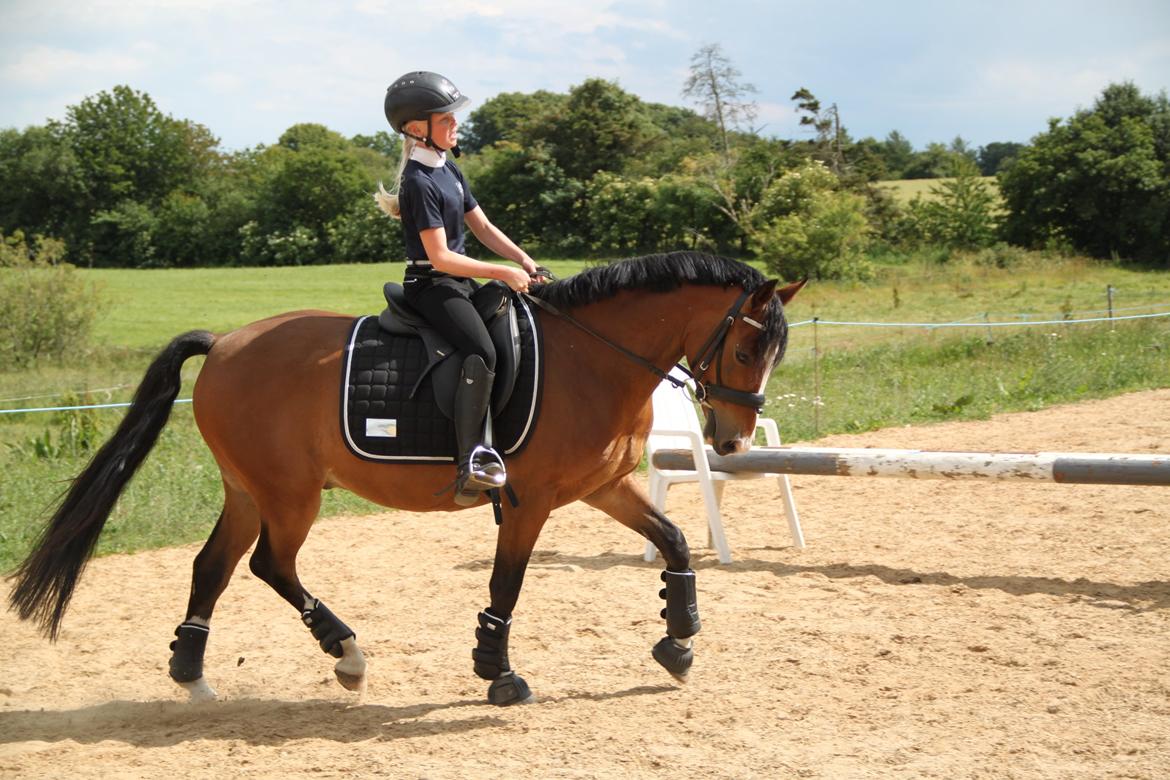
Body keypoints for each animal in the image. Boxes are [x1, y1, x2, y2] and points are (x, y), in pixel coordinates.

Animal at [9, 251, 803, 706]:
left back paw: (193, 674)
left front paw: (680, 642)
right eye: (746, 347)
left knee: (214, 566)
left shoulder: (602, 486)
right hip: (289, 494)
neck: (593, 359)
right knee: (271, 564)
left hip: (247, 489)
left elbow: (673, 540)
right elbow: (506, 585)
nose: (731, 440)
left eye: (773, 353)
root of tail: (226, 341)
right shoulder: (529, 500)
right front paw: (498, 672)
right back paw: (347, 654)